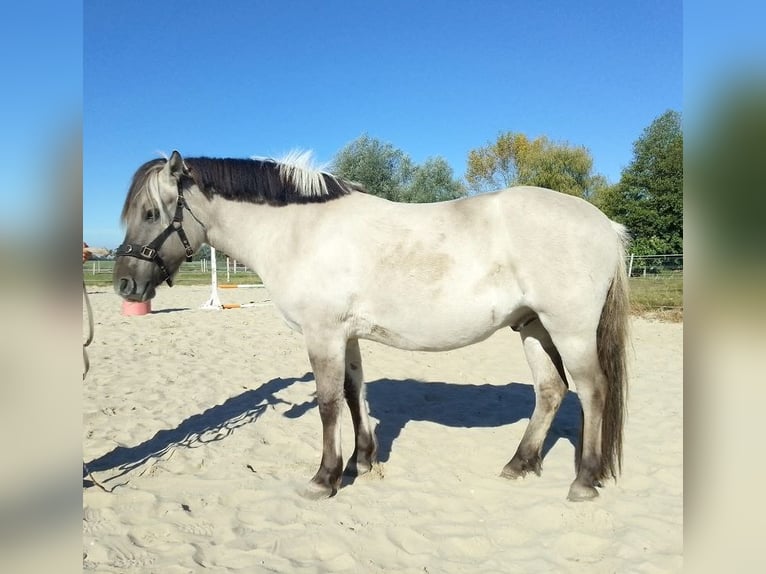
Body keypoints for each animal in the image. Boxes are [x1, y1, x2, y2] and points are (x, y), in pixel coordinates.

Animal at [113, 150, 630, 501]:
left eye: (151, 212)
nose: (124, 284)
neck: (301, 232)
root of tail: (606, 225)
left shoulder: (322, 334)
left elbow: (327, 403)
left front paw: (324, 477)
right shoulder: (347, 336)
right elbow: (352, 392)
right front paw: (362, 461)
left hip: (569, 331)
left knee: (593, 391)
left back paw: (584, 480)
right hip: (532, 328)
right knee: (551, 391)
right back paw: (519, 464)